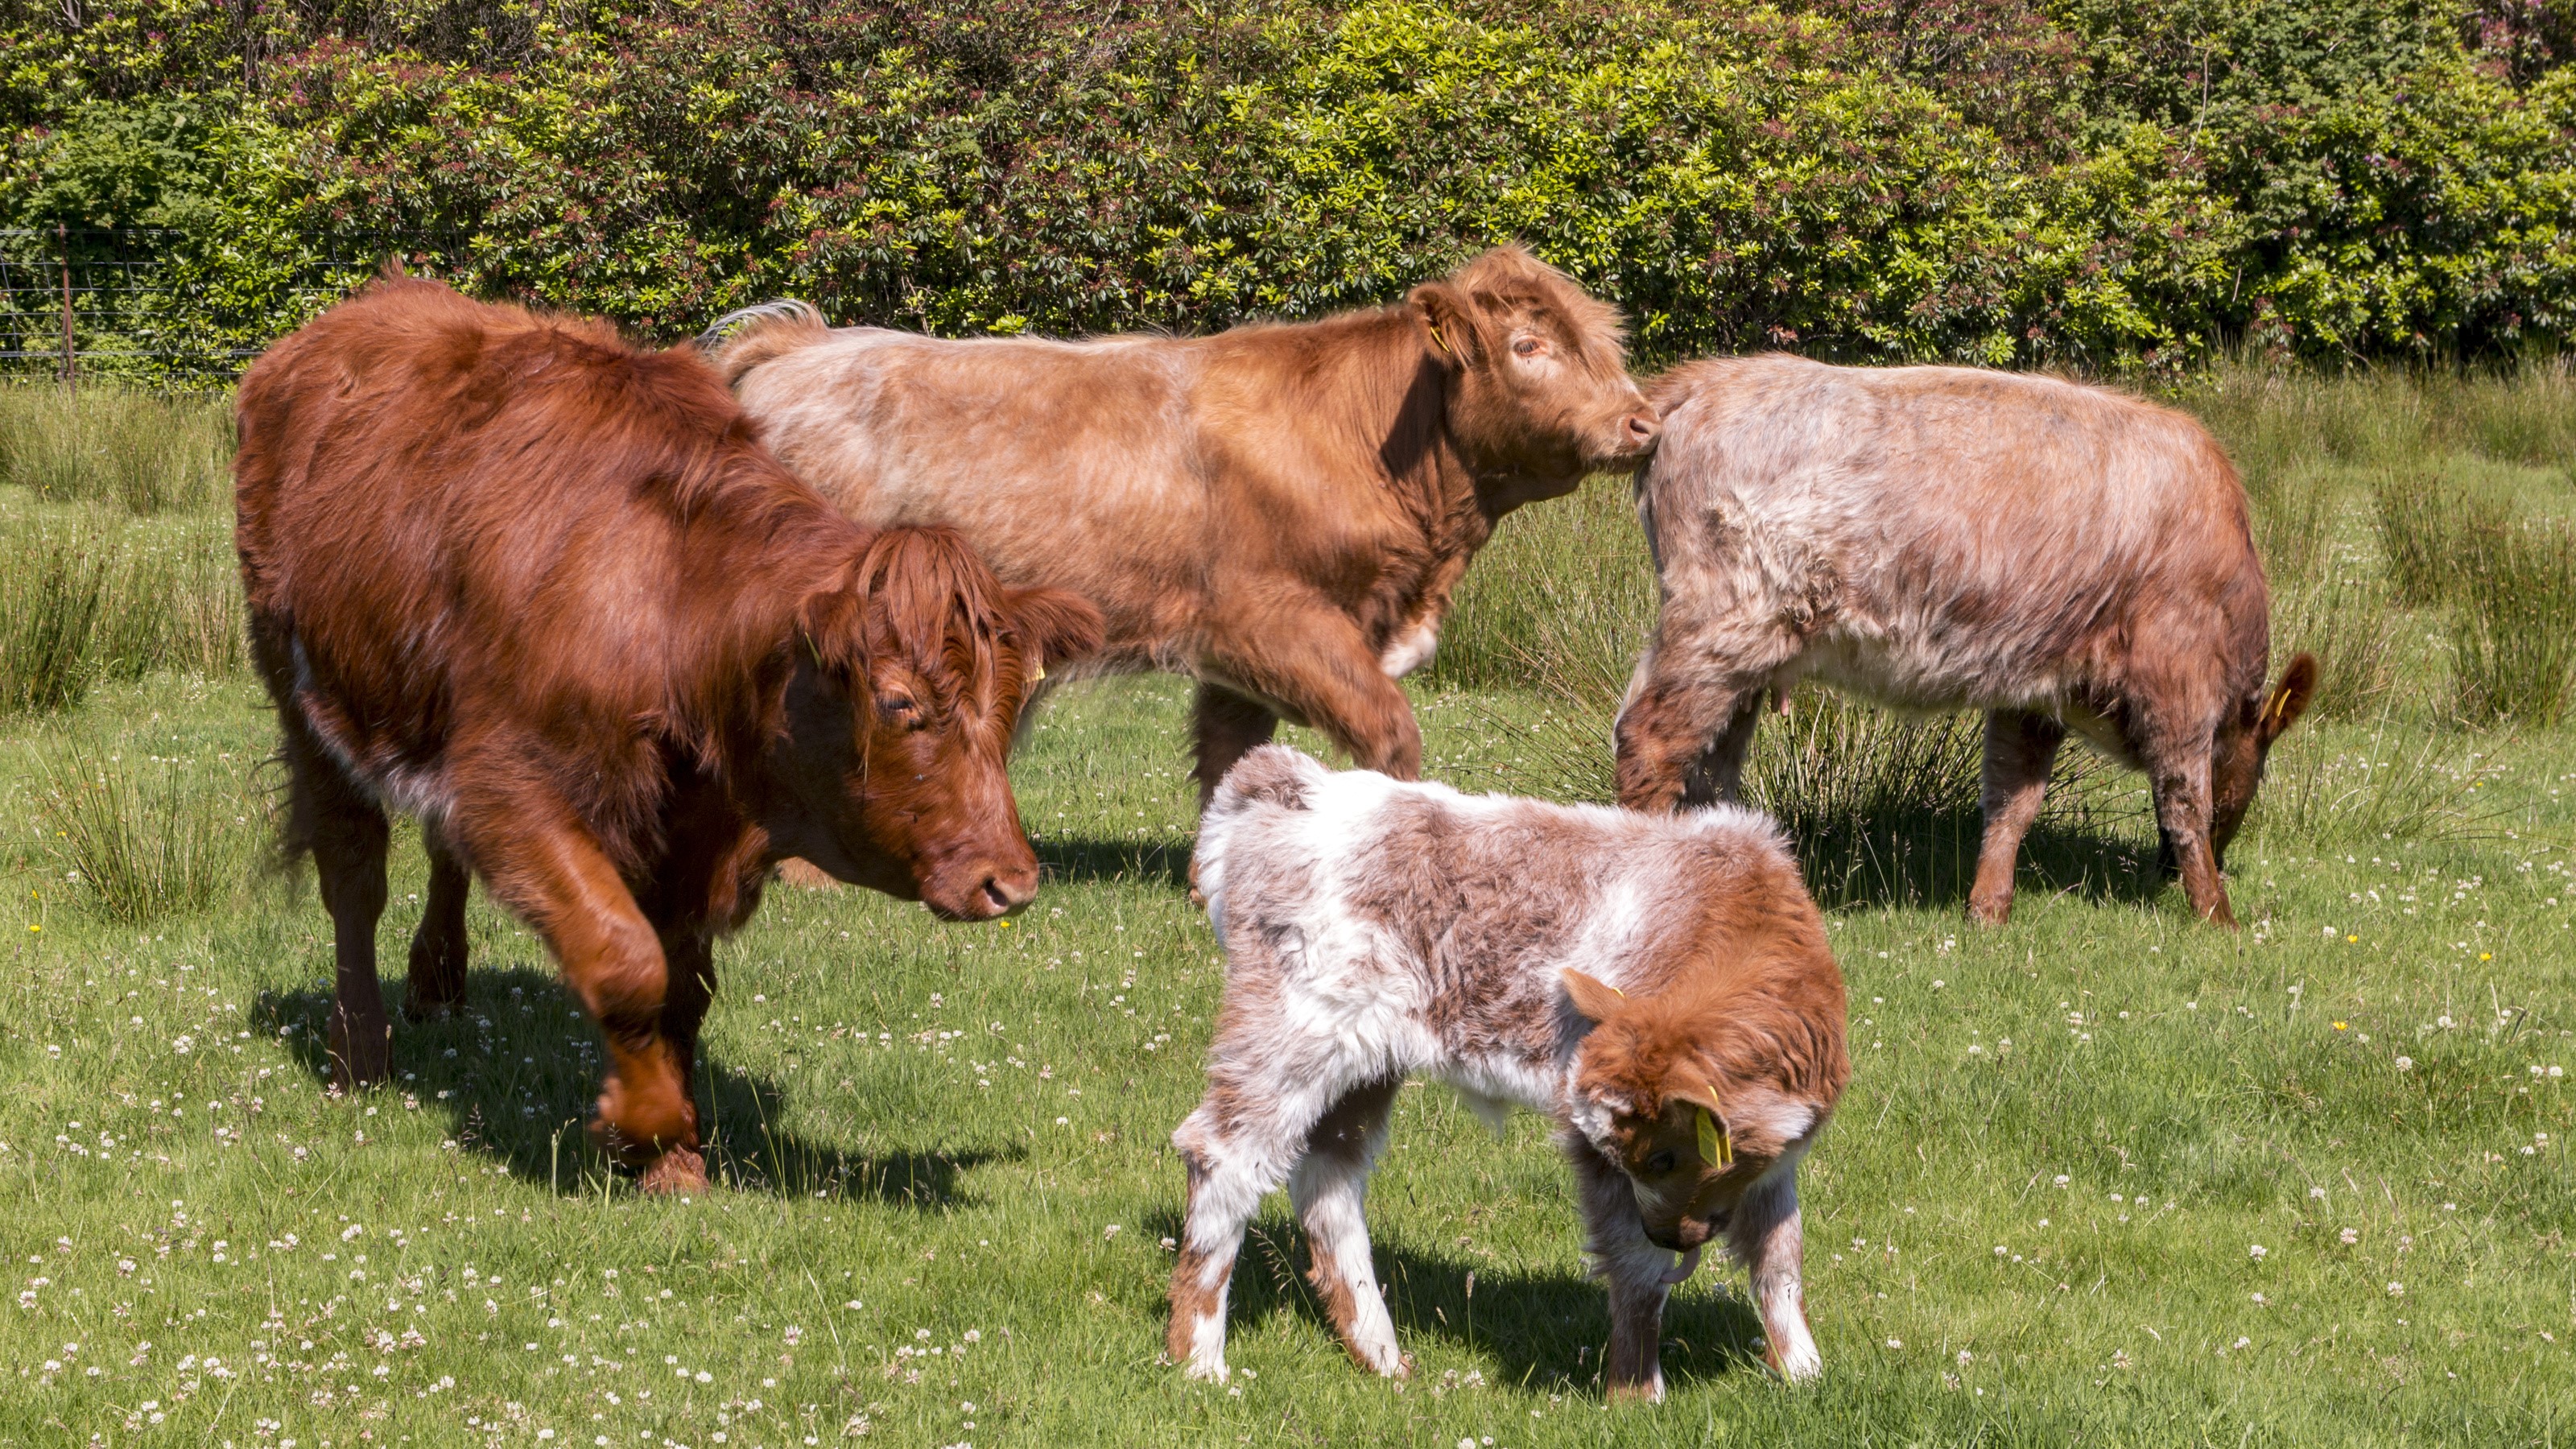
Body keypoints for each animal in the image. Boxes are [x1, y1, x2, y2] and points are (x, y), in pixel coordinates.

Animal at [233, 277, 1101, 1192]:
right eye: (900, 703)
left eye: (1011, 709)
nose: (1009, 883)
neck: (668, 600)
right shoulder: (511, 790)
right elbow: (628, 963)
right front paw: (640, 1127)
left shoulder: (693, 826)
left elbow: (684, 987)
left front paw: (675, 1154)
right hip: (309, 703)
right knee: (353, 878)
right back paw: (359, 1055)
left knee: (438, 857)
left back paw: (436, 983)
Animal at [701, 245, 1658, 815]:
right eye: (1529, 346)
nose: (1642, 422)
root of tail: (802, 347)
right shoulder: (1273, 621)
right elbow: (1389, 730)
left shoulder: (1241, 658)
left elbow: (1229, 755)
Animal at [1169, 746, 1849, 1400]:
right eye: (1655, 1158)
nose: (1671, 1234)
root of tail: (1290, 781)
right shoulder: (1591, 1138)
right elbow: (1637, 1268)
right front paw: (1637, 1396)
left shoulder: (1773, 1159)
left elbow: (1780, 1256)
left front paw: (1806, 1375)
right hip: (1287, 1033)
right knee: (1224, 1155)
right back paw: (1200, 1362)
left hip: (1363, 1063)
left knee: (1329, 1177)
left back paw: (1383, 1358)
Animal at [1614, 355, 2318, 928]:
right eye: (2260, 762)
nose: (2165, 874)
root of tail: (1704, 380)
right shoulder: (2177, 676)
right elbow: (2185, 799)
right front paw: (2218, 916)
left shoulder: (2034, 689)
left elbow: (2012, 801)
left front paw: (1989, 910)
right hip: (1722, 627)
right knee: (1649, 742)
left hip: (1742, 662)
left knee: (1710, 773)